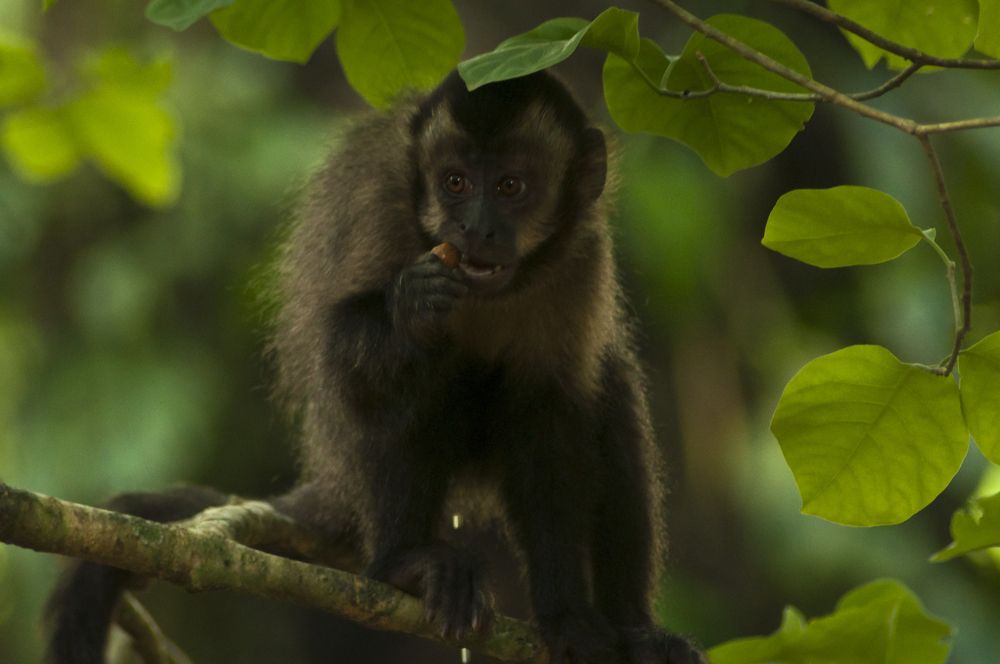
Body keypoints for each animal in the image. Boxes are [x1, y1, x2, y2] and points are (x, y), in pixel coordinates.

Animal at [45, 70, 705, 664]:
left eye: (511, 186)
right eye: (455, 182)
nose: (474, 227)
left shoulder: (581, 258)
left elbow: (549, 418)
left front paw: (568, 615)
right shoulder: (383, 209)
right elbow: (343, 366)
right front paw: (409, 308)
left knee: (610, 408)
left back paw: (634, 626)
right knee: (410, 385)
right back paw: (403, 566)